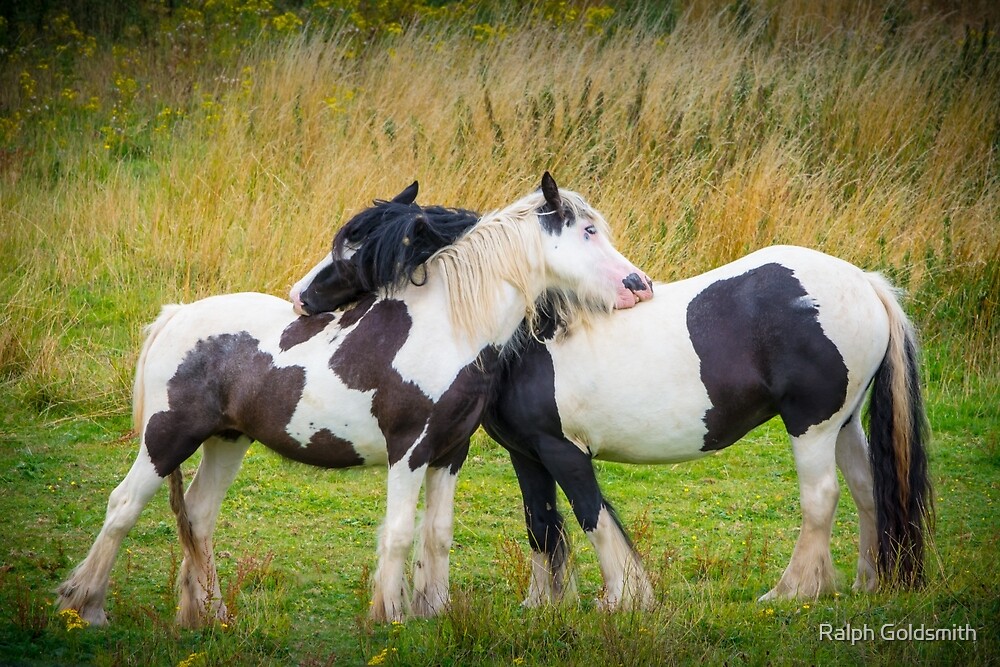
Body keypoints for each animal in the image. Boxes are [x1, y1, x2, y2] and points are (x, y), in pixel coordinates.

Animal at [60, 172, 656, 628]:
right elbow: (398, 533)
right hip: (166, 438)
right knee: (122, 506)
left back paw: (209, 616)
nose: (638, 284)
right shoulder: (408, 451)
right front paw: (387, 616)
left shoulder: (449, 453)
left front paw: (432, 610)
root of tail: (177, 315)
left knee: (199, 518)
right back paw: (85, 608)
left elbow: (437, 535)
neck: (446, 329)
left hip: (227, 441)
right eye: (587, 231)